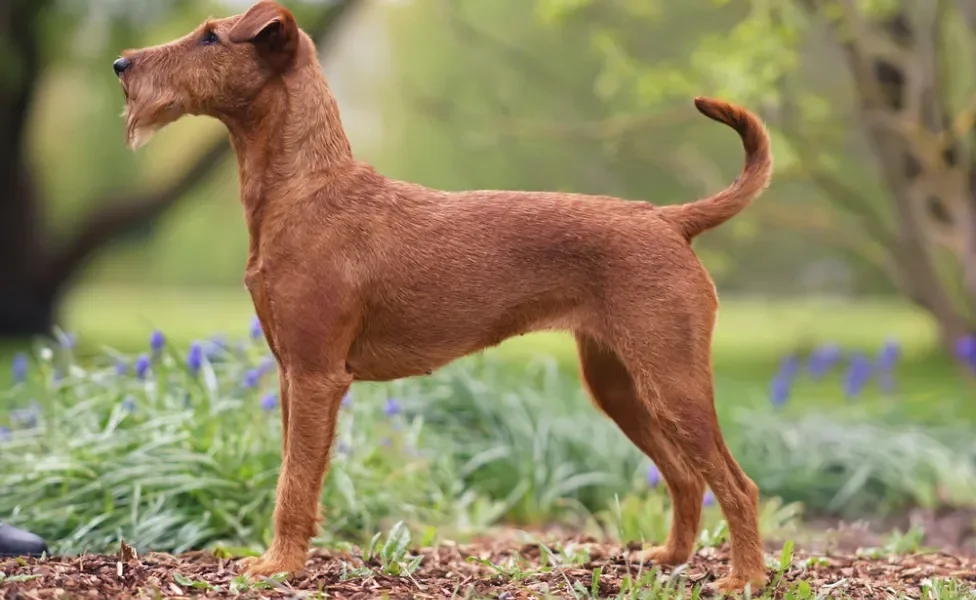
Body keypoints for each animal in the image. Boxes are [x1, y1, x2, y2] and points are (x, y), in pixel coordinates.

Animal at [112, 0, 772, 592]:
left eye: (210, 38)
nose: (120, 64)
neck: (304, 192)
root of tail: (666, 218)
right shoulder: (289, 372)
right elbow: (290, 473)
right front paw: (281, 561)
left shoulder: (316, 374)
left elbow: (295, 484)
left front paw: (279, 568)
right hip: (618, 384)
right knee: (686, 477)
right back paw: (670, 558)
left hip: (672, 380)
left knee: (737, 484)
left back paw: (744, 578)